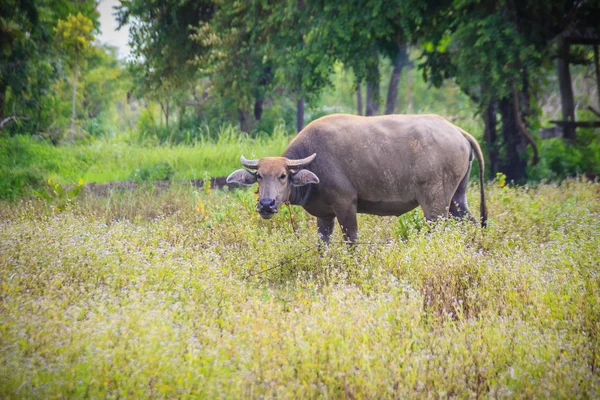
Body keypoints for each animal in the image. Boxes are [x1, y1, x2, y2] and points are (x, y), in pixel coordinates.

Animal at [227, 114, 486, 242]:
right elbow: (323, 244)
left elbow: (351, 240)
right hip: (457, 200)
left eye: (282, 176)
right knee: (472, 224)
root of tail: (457, 131)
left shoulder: (346, 205)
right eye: (260, 176)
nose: (266, 204)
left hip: (435, 205)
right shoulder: (325, 215)